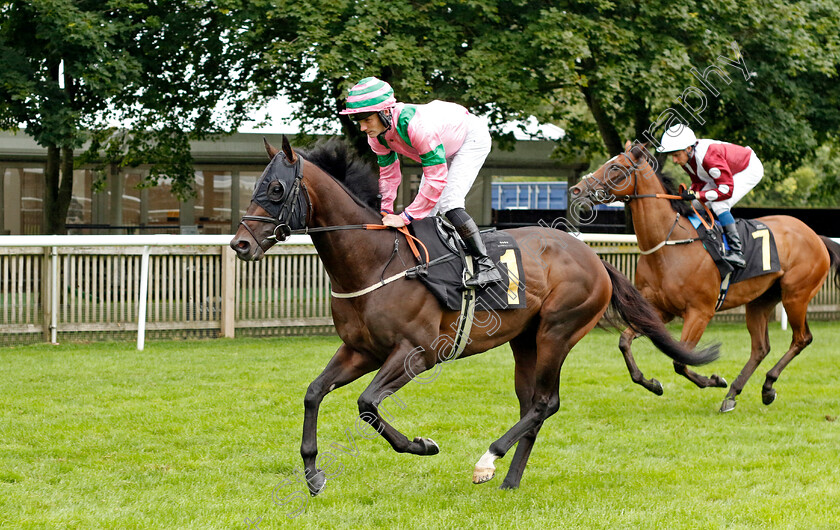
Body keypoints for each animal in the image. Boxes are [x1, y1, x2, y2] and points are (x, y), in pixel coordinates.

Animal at [231, 135, 720, 490]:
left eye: (275, 188)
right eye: (255, 186)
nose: (239, 244)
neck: (375, 259)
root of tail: (595, 259)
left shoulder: (417, 353)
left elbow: (367, 403)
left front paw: (423, 445)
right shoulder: (360, 350)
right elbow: (315, 393)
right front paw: (313, 472)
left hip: (557, 332)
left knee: (545, 403)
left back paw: (489, 460)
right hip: (526, 340)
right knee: (533, 403)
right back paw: (510, 479)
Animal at [568, 141, 836, 412]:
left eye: (615, 167)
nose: (577, 189)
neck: (669, 244)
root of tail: (815, 236)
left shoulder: (700, 312)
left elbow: (680, 359)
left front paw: (714, 380)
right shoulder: (659, 310)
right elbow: (625, 341)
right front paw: (652, 384)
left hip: (796, 295)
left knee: (801, 338)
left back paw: (767, 385)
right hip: (760, 300)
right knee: (760, 348)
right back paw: (733, 394)